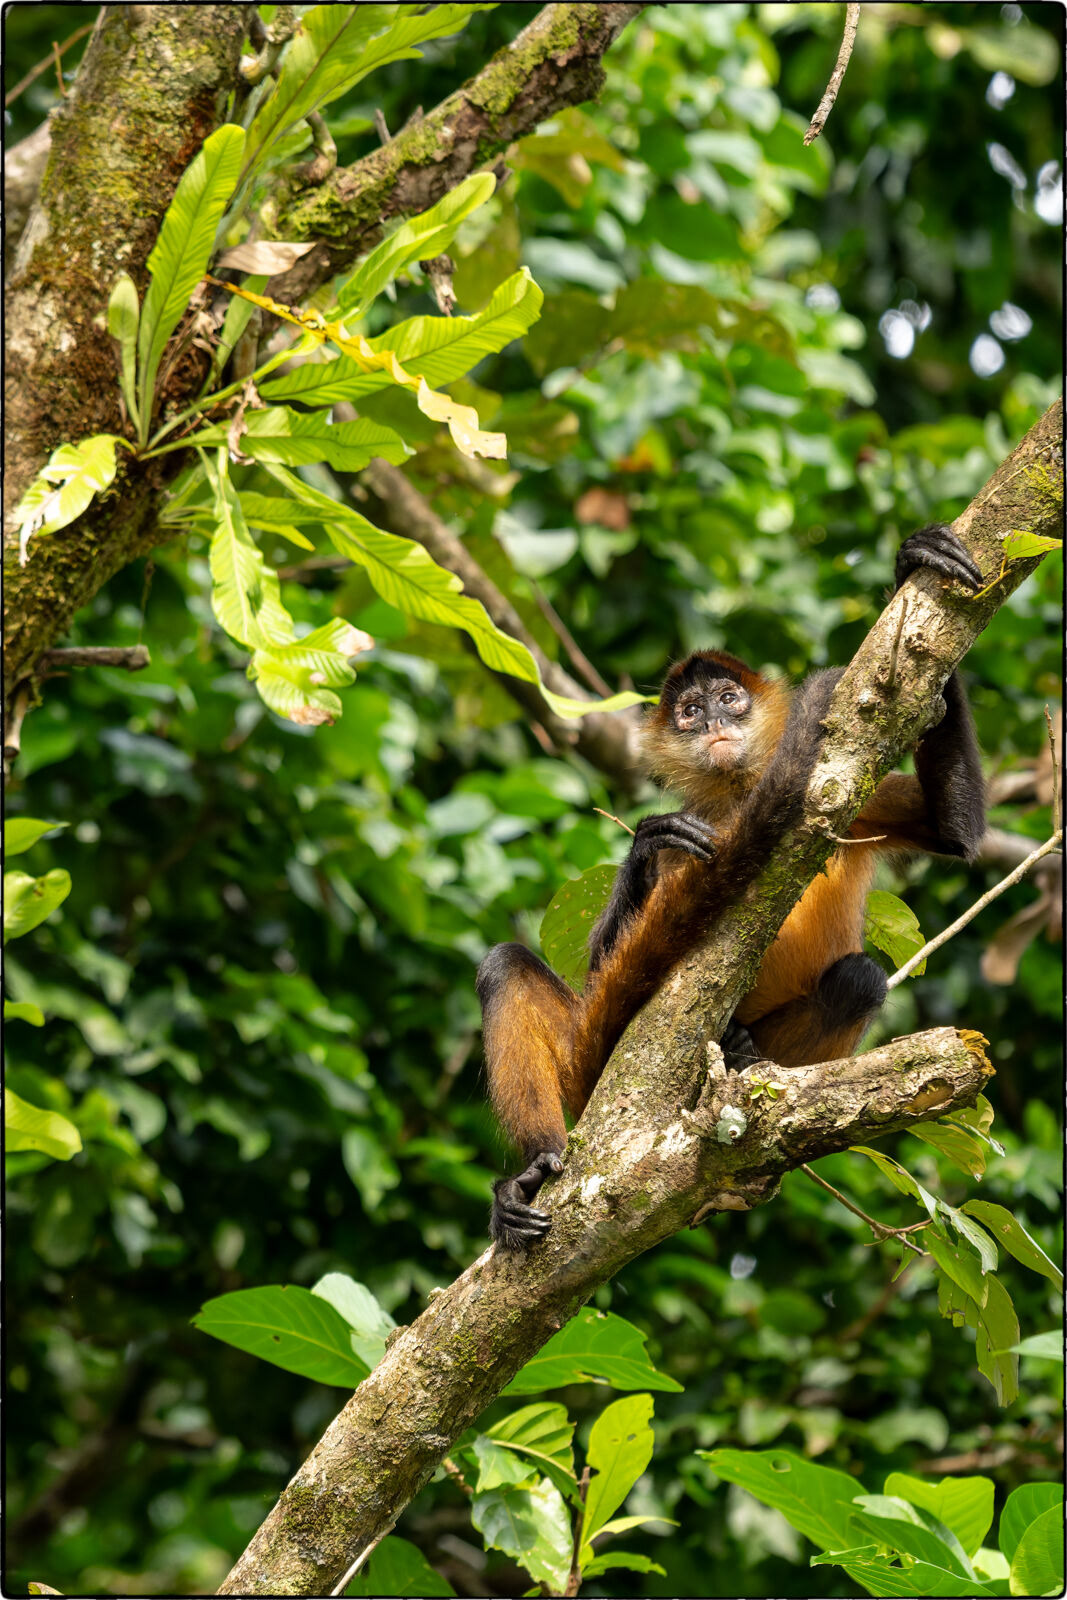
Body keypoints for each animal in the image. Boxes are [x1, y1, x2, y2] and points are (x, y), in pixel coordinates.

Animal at [477, 524, 985, 1248]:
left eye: (728, 699)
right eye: (690, 711)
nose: (715, 724)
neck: (739, 793)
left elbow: (956, 833)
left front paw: (918, 561)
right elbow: (607, 956)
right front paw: (649, 842)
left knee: (858, 978)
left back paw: (743, 1056)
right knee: (505, 965)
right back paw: (531, 1173)